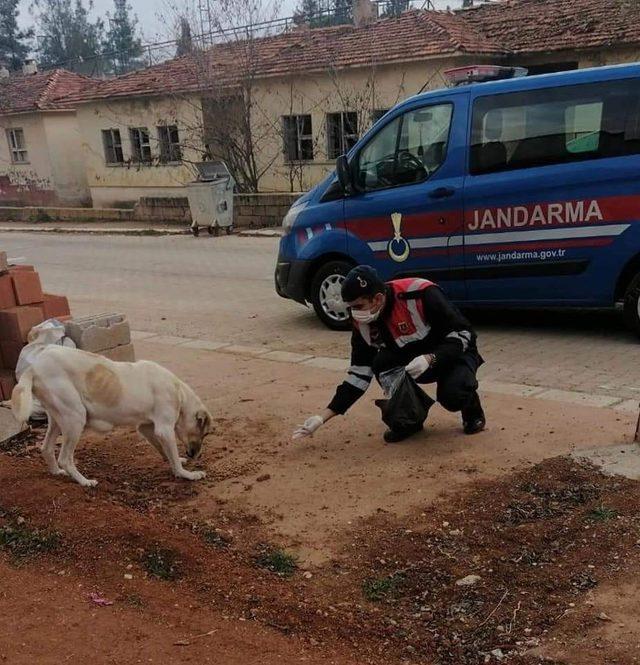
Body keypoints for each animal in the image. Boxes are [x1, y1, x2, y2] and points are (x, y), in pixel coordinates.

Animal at [10, 344, 212, 486]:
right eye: (205, 433)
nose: (196, 455)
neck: (179, 392)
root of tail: (34, 367)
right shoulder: (164, 429)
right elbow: (172, 454)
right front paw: (186, 474)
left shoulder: (147, 428)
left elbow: (164, 450)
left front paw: (175, 461)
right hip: (75, 418)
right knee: (65, 458)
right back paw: (84, 481)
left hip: (57, 420)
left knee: (46, 448)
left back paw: (56, 472)